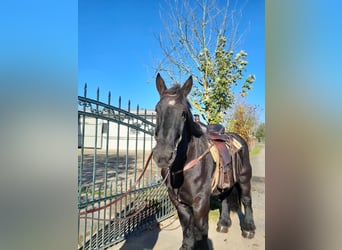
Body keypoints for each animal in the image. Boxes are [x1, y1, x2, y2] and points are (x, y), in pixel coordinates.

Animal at [152, 73, 254, 249]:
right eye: (157, 110)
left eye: (183, 113)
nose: (163, 156)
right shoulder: (179, 203)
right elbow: (187, 230)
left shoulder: (200, 202)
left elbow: (200, 231)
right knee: (224, 198)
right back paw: (223, 223)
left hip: (244, 178)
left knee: (247, 200)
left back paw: (248, 229)